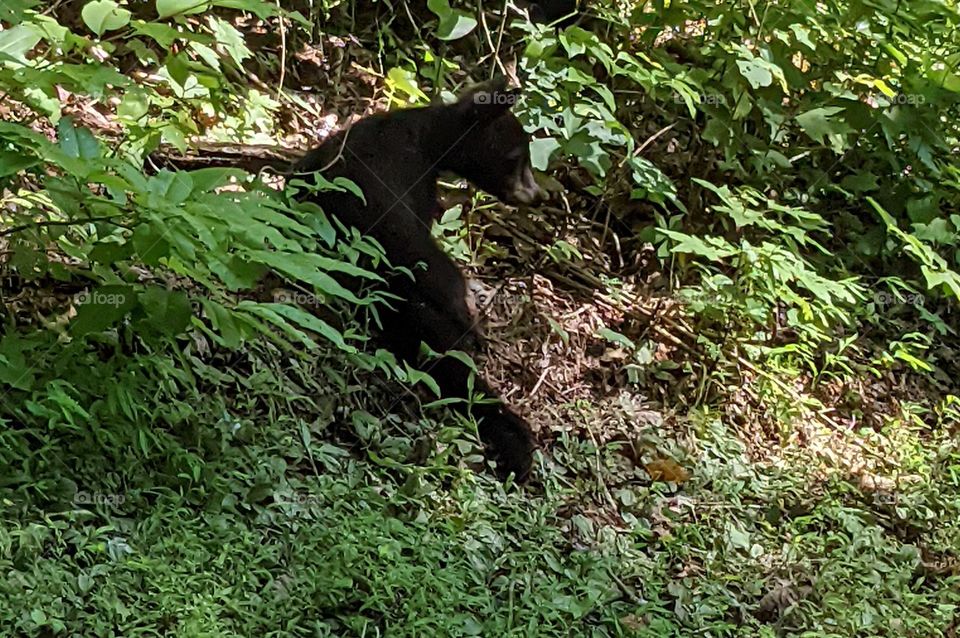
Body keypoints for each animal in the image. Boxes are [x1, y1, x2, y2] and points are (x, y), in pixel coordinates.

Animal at [293, 78, 544, 480]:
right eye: (516, 156)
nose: (537, 195)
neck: (427, 142)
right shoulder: (395, 169)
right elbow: (407, 241)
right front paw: (468, 311)